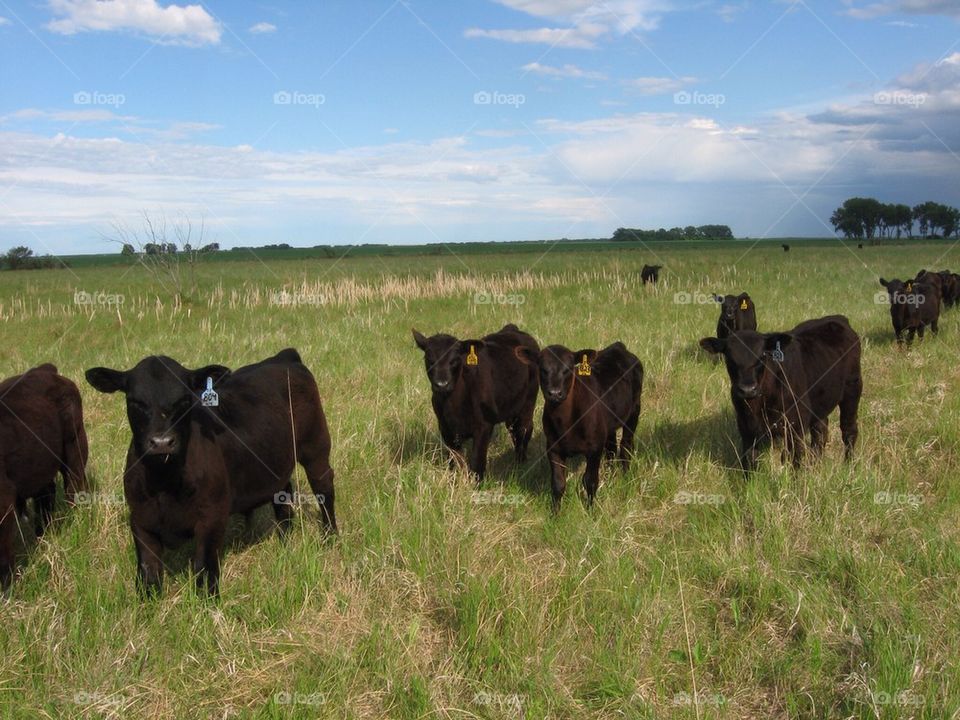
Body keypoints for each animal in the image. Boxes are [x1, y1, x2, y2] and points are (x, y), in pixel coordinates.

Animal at [85, 349, 334, 596]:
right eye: (135, 401)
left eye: (184, 399)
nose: (162, 442)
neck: (165, 482)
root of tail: (283, 358)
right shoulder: (140, 518)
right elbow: (148, 571)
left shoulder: (212, 516)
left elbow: (204, 568)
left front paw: (208, 601)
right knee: (283, 496)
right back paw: (284, 542)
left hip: (316, 448)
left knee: (324, 491)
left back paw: (330, 538)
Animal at [412, 324, 539, 482]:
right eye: (429, 358)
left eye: (455, 360)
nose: (442, 384)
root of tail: (513, 329)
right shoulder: (446, 428)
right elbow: (454, 461)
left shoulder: (484, 426)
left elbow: (477, 462)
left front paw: (477, 484)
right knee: (513, 430)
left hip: (528, 402)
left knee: (524, 429)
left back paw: (520, 463)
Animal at [514, 342, 643, 507]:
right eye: (542, 369)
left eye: (568, 368)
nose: (555, 393)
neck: (566, 424)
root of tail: (618, 347)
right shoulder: (553, 448)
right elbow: (558, 484)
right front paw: (555, 511)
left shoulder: (594, 448)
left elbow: (590, 481)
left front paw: (590, 509)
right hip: (609, 424)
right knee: (611, 449)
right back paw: (611, 475)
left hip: (634, 411)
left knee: (626, 446)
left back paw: (626, 477)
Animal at [699, 316, 862, 474]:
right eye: (729, 358)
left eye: (762, 355)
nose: (748, 389)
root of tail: (839, 319)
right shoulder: (746, 428)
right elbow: (749, 461)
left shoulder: (795, 425)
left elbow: (794, 459)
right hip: (820, 403)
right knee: (820, 433)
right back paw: (815, 466)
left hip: (852, 390)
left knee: (848, 430)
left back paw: (849, 466)